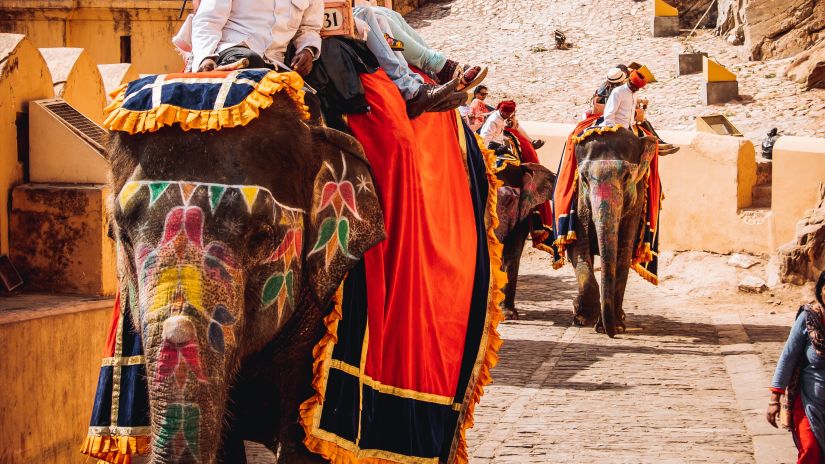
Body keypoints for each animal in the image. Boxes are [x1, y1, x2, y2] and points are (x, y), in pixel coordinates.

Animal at [568, 127, 656, 338]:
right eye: (584, 178)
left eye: (626, 177)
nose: (610, 333)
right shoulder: (579, 199)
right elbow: (578, 249)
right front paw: (582, 318)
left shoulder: (636, 201)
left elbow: (623, 254)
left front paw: (614, 326)